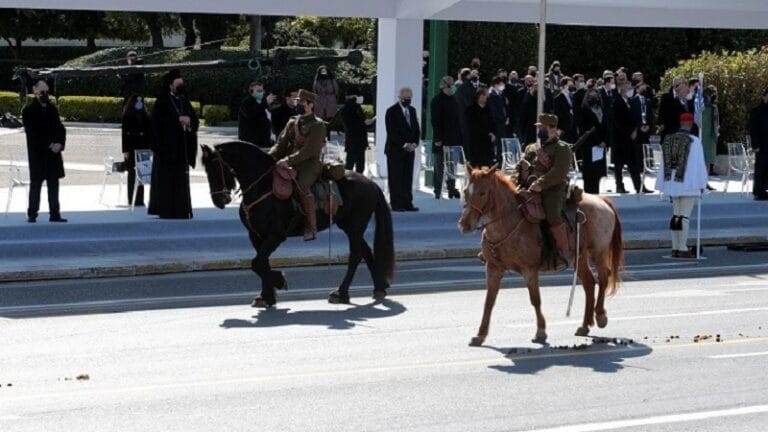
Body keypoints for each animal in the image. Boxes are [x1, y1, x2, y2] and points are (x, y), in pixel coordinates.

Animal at [201, 142, 392, 308]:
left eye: (216, 168)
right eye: (207, 170)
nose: (219, 200)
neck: (263, 186)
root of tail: (372, 183)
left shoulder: (276, 236)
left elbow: (257, 263)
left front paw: (279, 281)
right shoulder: (256, 235)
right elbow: (262, 262)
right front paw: (266, 296)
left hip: (355, 227)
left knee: (355, 256)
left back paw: (341, 293)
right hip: (349, 226)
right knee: (366, 252)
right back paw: (379, 288)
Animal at [456, 167, 624, 346]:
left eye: (483, 192)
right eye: (465, 191)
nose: (464, 225)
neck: (508, 222)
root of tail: (601, 199)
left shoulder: (529, 270)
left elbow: (535, 299)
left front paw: (541, 332)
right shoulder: (493, 268)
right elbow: (489, 301)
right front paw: (480, 335)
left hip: (598, 251)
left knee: (604, 277)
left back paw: (600, 316)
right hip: (579, 257)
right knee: (589, 283)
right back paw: (584, 325)